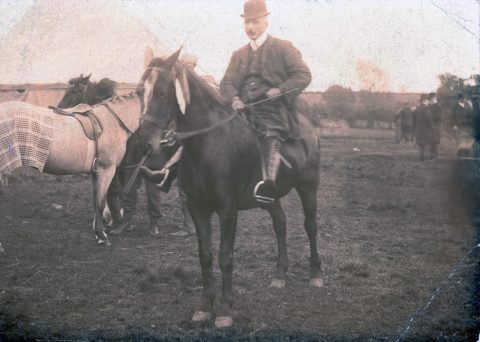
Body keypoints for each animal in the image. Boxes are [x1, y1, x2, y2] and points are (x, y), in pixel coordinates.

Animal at [136, 49, 322, 328]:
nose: (143, 143)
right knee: (280, 224)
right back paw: (280, 274)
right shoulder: (198, 208)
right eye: (140, 92)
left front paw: (224, 309)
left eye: (161, 92)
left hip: (309, 186)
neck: (210, 143)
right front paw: (204, 306)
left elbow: (225, 257)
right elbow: (205, 255)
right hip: (270, 196)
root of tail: (309, 128)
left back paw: (315, 273)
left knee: (310, 226)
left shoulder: (227, 210)